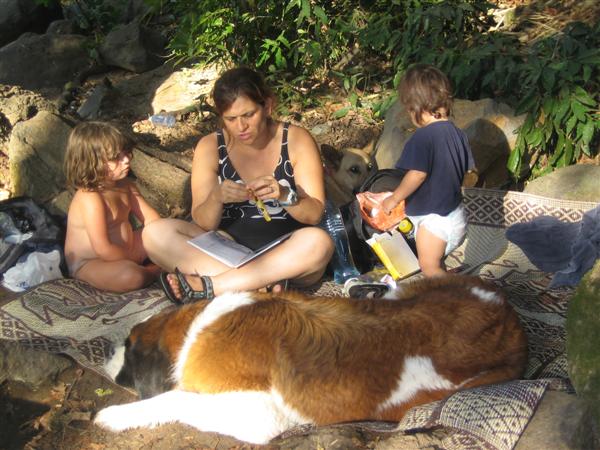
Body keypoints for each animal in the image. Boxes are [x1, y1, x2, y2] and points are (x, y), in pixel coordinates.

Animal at [95, 275, 527, 444]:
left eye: (129, 345)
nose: (106, 350)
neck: (194, 329)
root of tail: (507, 311)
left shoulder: (258, 414)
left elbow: (176, 398)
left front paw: (113, 415)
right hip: (404, 292)